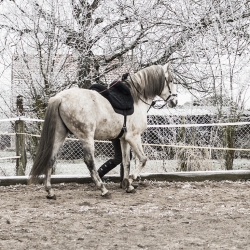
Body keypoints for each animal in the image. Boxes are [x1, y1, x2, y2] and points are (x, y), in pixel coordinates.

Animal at [29, 64, 178, 199]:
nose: (175, 101)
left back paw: (50, 191)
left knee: (51, 158)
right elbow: (143, 159)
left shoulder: (124, 139)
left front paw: (127, 185)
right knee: (89, 161)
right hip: (86, 137)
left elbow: (126, 162)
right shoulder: (134, 137)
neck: (136, 99)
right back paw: (103, 189)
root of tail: (60, 98)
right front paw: (129, 180)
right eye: (170, 80)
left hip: (59, 135)